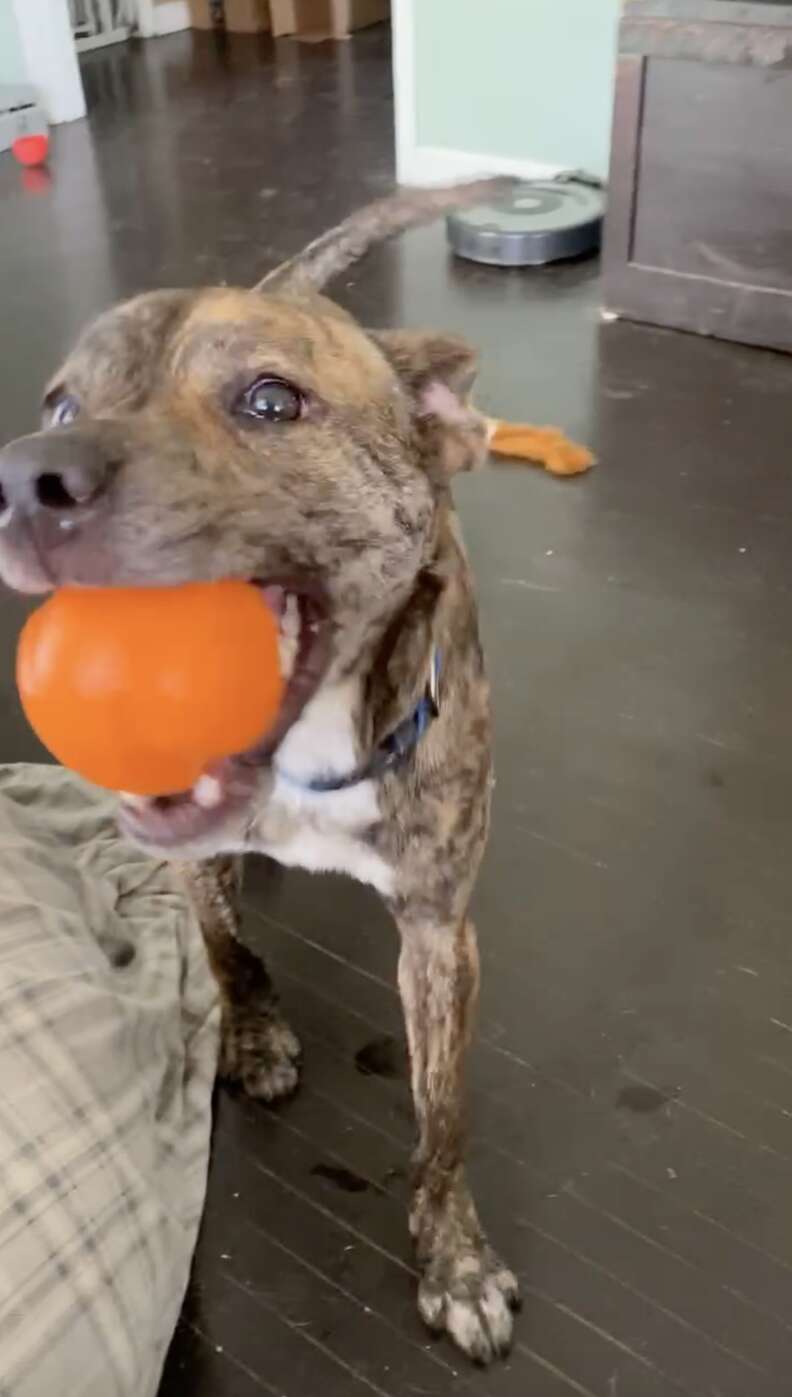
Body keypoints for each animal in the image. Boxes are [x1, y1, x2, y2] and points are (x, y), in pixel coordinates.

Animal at [0, 183, 589, 1363]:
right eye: (58, 402)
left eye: (270, 400)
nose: (27, 479)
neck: (310, 757)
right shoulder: (189, 852)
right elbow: (225, 948)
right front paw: (252, 1029)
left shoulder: (440, 931)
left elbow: (443, 1115)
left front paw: (454, 1258)